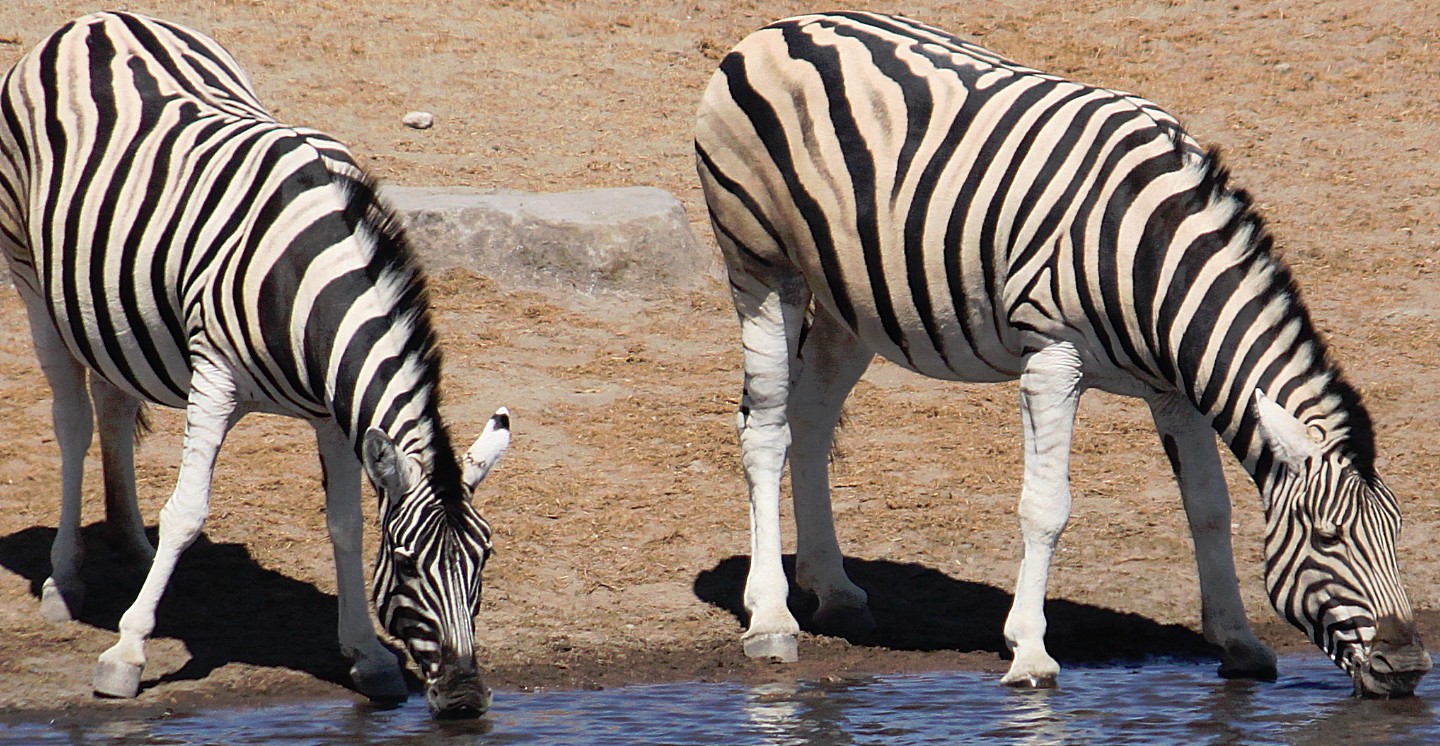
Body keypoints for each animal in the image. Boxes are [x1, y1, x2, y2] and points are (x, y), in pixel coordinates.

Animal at [0, 11, 509, 720]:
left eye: (484, 559)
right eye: (408, 563)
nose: (464, 698)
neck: (308, 277)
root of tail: (99, 18)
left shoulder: (333, 410)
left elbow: (345, 525)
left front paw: (370, 657)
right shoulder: (213, 377)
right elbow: (187, 511)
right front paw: (126, 654)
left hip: (103, 299)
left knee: (114, 401)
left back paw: (132, 543)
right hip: (27, 270)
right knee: (73, 422)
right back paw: (64, 580)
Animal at [694, 11, 1428, 699]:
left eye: (1398, 533)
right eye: (1328, 539)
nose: (1409, 668)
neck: (1151, 260)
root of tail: (778, 28)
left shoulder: (1177, 389)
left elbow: (1209, 508)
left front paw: (1240, 643)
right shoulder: (1051, 359)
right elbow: (1045, 507)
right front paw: (1030, 654)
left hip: (853, 301)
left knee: (811, 421)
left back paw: (834, 590)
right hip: (761, 267)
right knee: (765, 428)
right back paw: (772, 619)